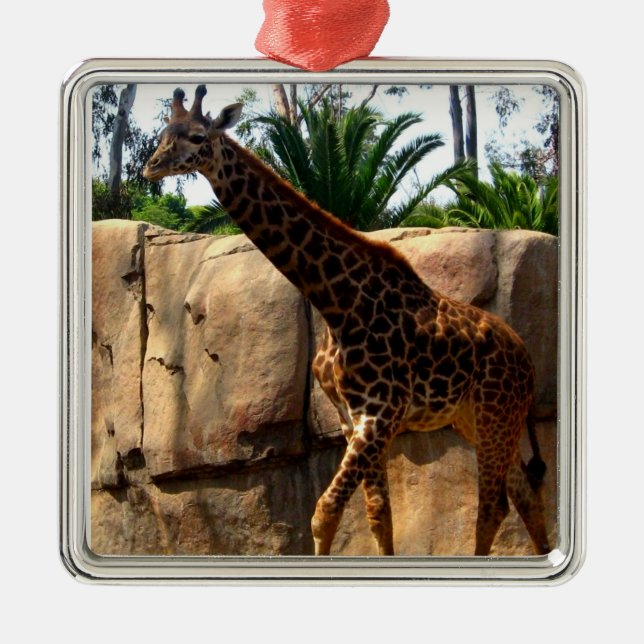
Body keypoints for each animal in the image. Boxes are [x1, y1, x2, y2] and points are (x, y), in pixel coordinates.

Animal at [143, 86, 550, 557]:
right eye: (162, 134)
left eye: (195, 136)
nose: (151, 166)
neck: (336, 303)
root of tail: (527, 360)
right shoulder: (352, 418)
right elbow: (379, 516)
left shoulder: (379, 414)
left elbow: (324, 512)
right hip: (478, 418)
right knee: (525, 497)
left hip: (493, 413)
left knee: (492, 507)